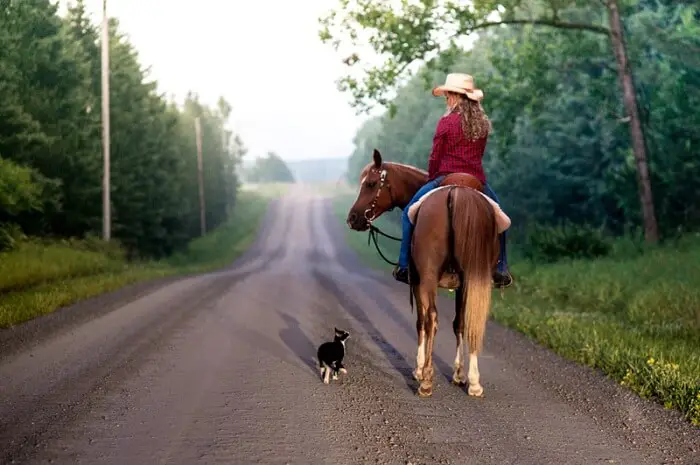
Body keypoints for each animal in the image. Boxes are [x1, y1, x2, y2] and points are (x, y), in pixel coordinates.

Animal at [344, 149, 498, 396]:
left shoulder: (417, 281)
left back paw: (426, 380)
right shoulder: (461, 284)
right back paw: (474, 383)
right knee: (471, 320)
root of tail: (455, 194)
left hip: (427, 277)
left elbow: (420, 321)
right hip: (472, 276)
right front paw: (459, 374)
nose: (352, 219)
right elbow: (459, 323)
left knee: (431, 319)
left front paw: (418, 369)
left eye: (371, 183)